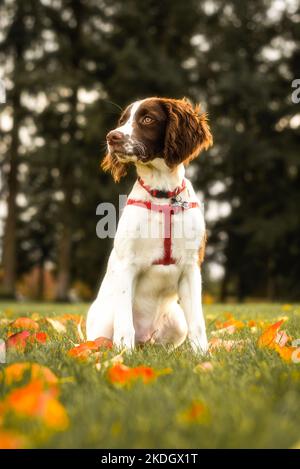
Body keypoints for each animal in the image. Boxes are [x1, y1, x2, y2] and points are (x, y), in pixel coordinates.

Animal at [86, 97, 213, 352]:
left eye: (147, 119)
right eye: (122, 121)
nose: (112, 137)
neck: (163, 195)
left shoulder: (191, 267)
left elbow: (198, 323)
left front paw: (202, 355)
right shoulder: (126, 265)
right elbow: (125, 325)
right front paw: (124, 355)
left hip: (177, 321)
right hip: (101, 324)